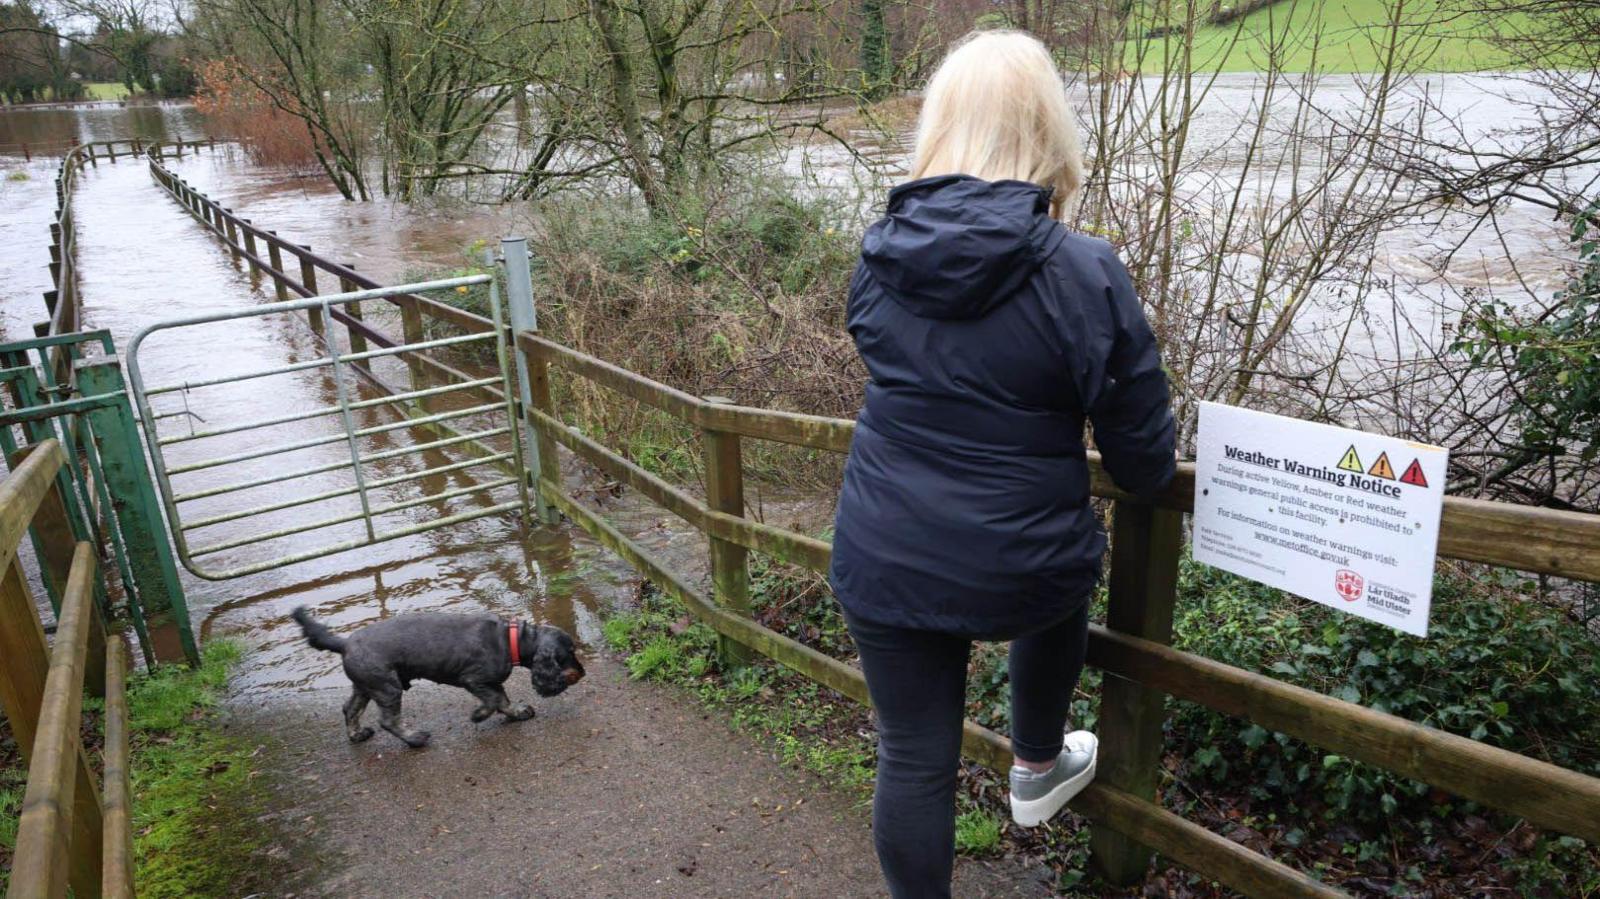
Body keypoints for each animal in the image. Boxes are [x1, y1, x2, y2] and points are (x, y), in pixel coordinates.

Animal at [291, 604, 585, 745]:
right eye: (569, 652)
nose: (582, 673)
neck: (511, 639)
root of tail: (344, 644)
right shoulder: (475, 679)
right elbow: (494, 700)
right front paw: (478, 715)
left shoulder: (490, 682)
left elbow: (503, 699)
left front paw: (518, 713)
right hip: (387, 687)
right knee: (388, 720)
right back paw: (414, 739)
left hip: (366, 685)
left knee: (350, 709)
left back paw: (356, 735)